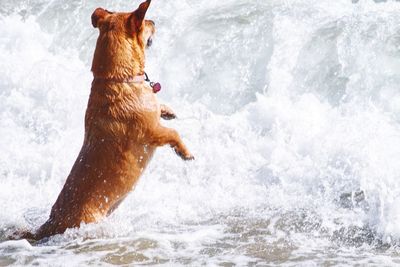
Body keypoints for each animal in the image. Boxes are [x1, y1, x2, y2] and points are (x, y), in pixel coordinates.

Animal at [21, 0, 194, 241]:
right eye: (145, 22)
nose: (154, 21)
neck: (118, 78)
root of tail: (49, 225)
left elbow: (160, 107)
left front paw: (167, 110)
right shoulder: (152, 132)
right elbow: (173, 133)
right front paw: (185, 153)